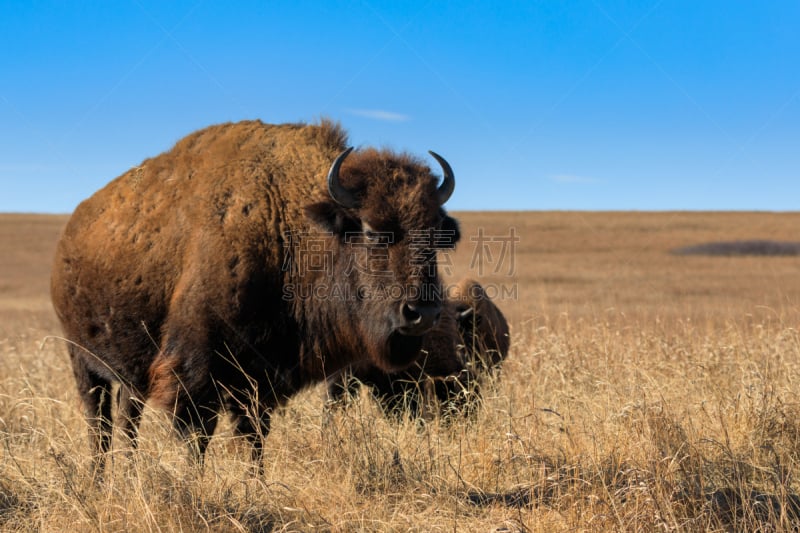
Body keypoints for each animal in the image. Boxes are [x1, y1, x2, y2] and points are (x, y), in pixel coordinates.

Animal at [50, 119, 460, 470]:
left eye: (436, 234)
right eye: (374, 231)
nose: (422, 313)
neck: (287, 223)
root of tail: (70, 234)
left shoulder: (260, 378)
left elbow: (254, 438)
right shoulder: (196, 373)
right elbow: (198, 438)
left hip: (129, 374)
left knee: (126, 421)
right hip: (82, 360)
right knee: (98, 424)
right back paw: (100, 477)